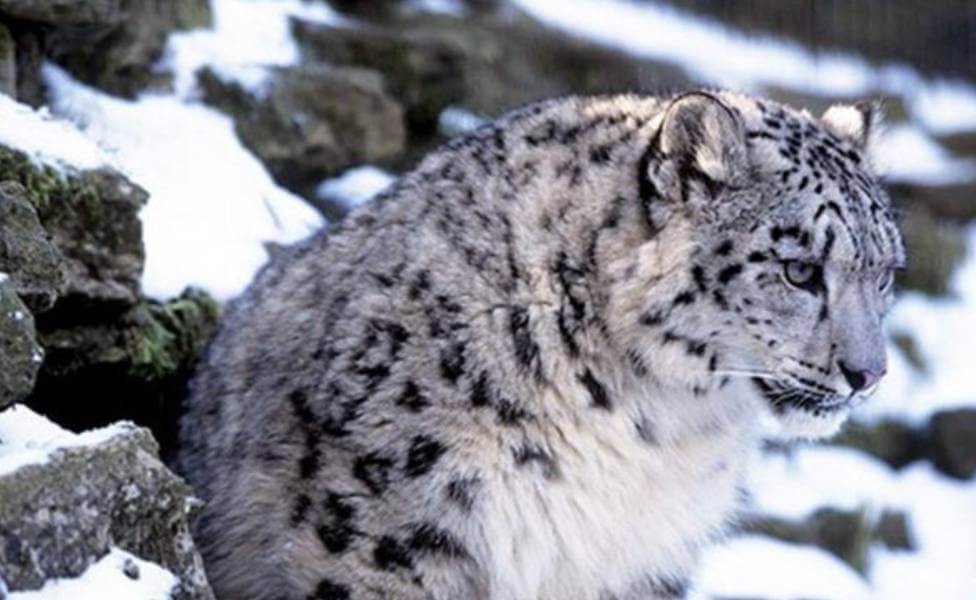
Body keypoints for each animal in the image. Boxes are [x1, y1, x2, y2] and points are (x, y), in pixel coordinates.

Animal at [179, 90, 904, 600]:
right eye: (798, 270)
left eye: (886, 273)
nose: (868, 374)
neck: (658, 428)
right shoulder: (389, 523)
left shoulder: (643, 557)